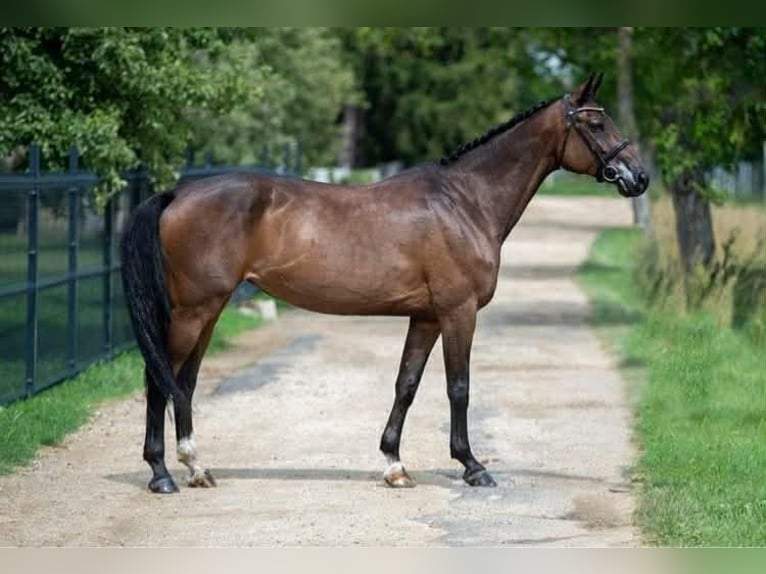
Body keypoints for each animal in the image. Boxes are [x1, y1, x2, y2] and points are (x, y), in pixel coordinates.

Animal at [120, 73, 649, 494]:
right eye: (596, 124)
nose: (638, 177)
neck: (464, 201)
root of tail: (177, 193)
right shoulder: (458, 311)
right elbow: (459, 386)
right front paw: (473, 466)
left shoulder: (426, 316)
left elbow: (406, 385)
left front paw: (394, 464)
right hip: (194, 311)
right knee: (158, 379)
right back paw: (161, 475)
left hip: (208, 311)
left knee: (184, 381)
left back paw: (196, 468)